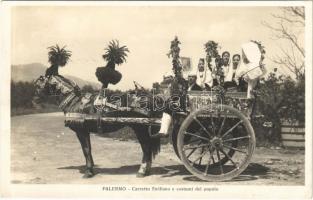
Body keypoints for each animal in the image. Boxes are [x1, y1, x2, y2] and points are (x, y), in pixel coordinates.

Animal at [33, 75, 161, 178]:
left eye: (39, 83)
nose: (35, 99)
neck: (75, 102)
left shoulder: (81, 132)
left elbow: (86, 150)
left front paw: (88, 172)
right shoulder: (86, 131)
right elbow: (89, 149)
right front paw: (91, 168)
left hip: (140, 128)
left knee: (146, 148)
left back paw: (142, 171)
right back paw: (147, 170)